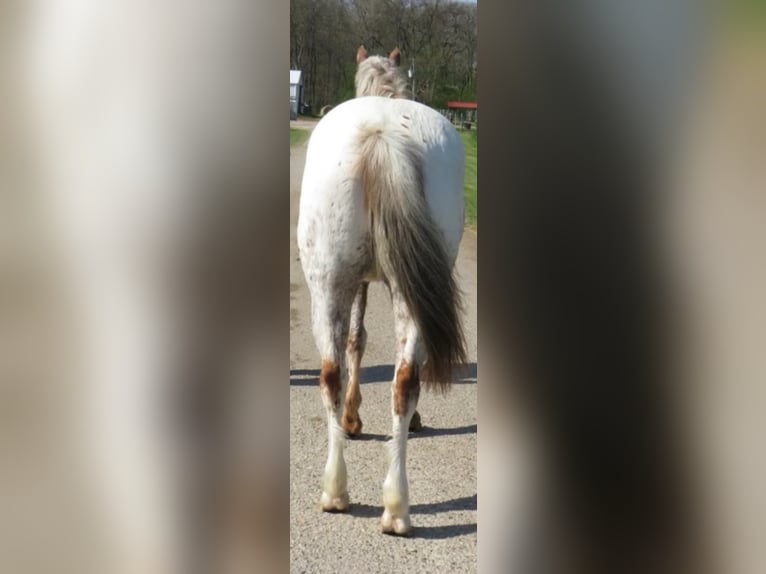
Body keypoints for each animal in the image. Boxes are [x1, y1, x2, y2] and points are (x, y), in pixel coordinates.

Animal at [298, 47, 468, 536]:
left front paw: (354, 419)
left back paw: (338, 493)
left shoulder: (359, 283)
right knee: (402, 379)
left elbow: (356, 341)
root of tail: (384, 132)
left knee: (334, 373)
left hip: (328, 284)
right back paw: (395, 508)